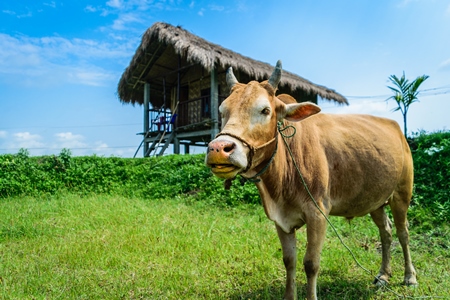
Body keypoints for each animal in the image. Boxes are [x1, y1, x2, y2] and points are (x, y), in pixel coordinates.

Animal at [206, 61, 416, 300]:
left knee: (403, 232)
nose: (218, 149)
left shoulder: (318, 213)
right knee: (386, 232)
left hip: (401, 194)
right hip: (376, 201)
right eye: (222, 111)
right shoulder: (281, 219)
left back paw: (409, 277)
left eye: (265, 110)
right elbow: (289, 261)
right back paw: (383, 275)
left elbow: (311, 263)